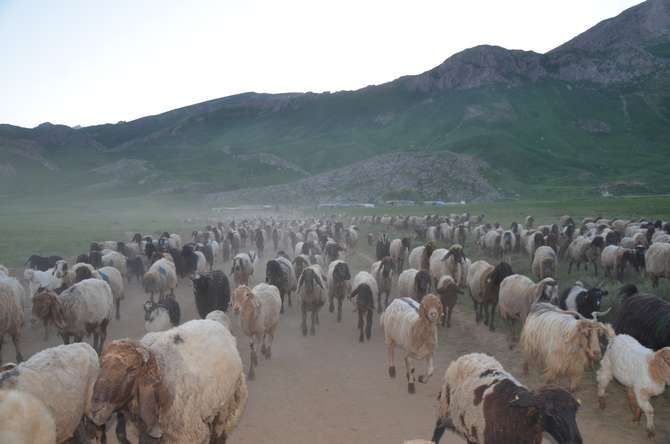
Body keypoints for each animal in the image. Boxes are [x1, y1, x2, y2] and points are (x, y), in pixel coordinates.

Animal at [88, 320, 248, 442]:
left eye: (132, 370)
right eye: (101, 365)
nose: (95, 407)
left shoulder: (185, 434)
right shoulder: (145, 433)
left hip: (225, 406)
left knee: (219, 433)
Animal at [436, 354, 584, 444]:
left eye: (575, 412)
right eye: (550, 412)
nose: (576, 441)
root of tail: (470, 355)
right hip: (445, 404)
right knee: (438, 426)